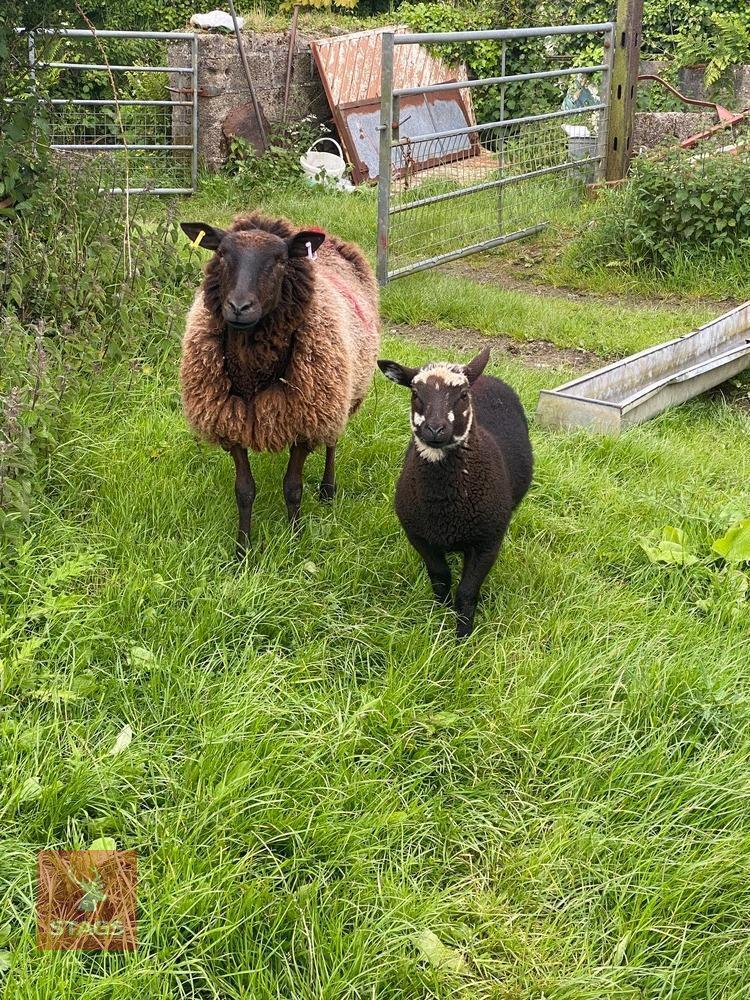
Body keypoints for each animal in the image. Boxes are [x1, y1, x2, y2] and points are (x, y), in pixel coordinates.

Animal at [179, 212, 380, 558]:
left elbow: (293, 487)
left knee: (332, 441)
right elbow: (244, 490)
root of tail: (328, 238)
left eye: (281, 260)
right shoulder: (231, 421)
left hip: (340, 395)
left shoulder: (305, 422)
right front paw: (242, 550)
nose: (239, 307)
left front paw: (295, 539)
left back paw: (328, 490)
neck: (253, 372)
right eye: (222, 254)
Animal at [377, 346, 532, 638]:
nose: (435, 429)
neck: (445, 503)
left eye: (462, 396)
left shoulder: (487, 542)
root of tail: (484, 376)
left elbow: (467, 592)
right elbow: (440, 578)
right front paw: (438, 615)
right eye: (415, 394)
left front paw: (462, 635)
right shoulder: (419, 536)